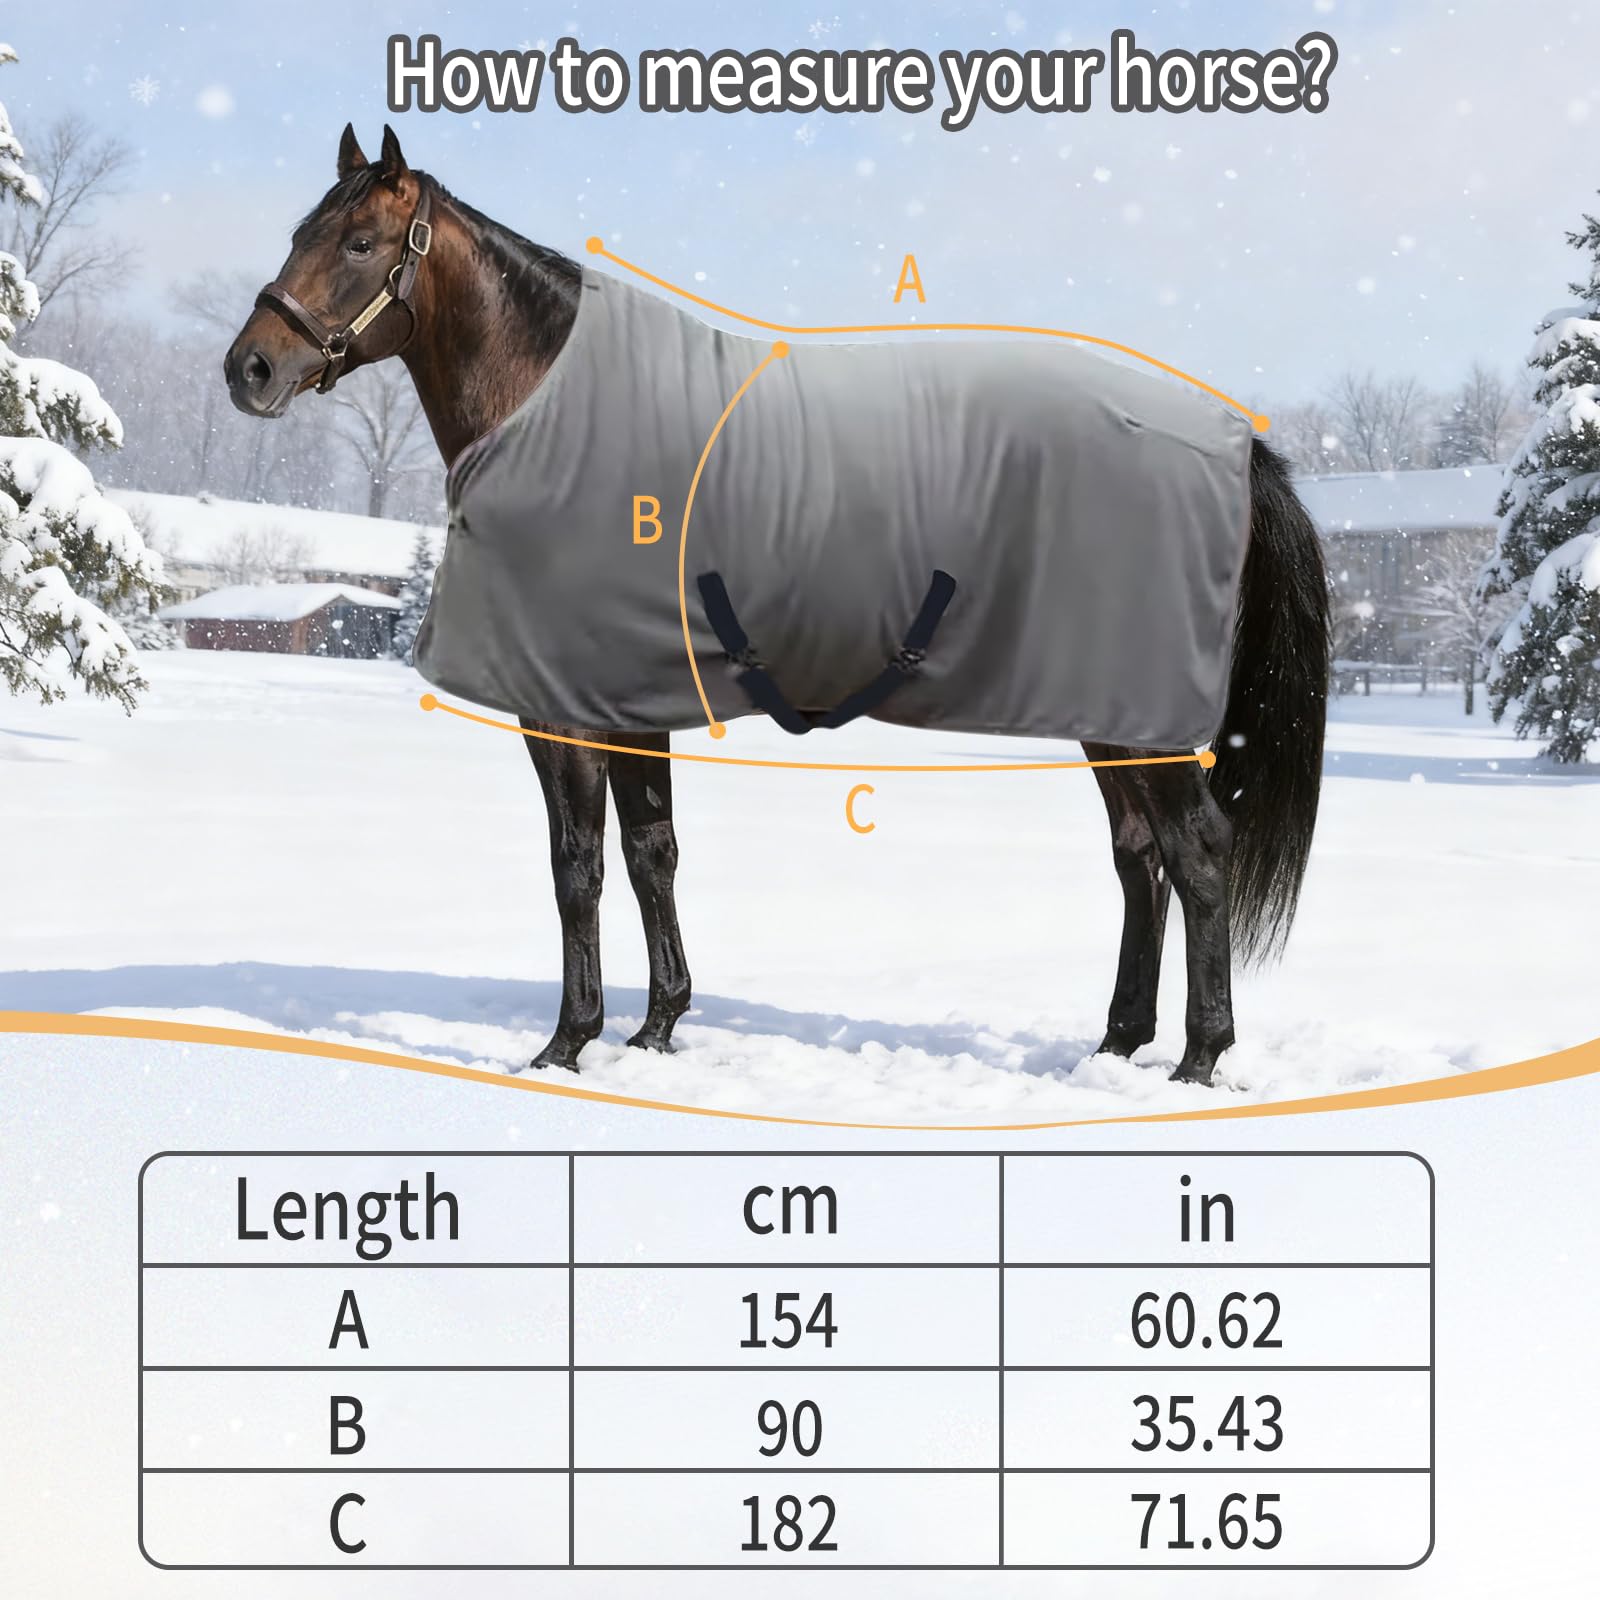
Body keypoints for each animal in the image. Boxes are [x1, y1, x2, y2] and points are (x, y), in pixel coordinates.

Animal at [223, 124, 1329, 1087]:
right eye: (298, 234)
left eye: (358, 242)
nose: (251, 368)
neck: (558, 414)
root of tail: (1234, 448)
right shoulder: (633, 702)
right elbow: (652, 853)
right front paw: (657, 1026)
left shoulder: (562, 708)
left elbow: (577, 865)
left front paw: (566, 1044)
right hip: (1106, 712)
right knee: (1139, 859)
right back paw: (1115, 1044)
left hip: (1139, 715)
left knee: (1197, 853)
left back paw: (1196, 1058)